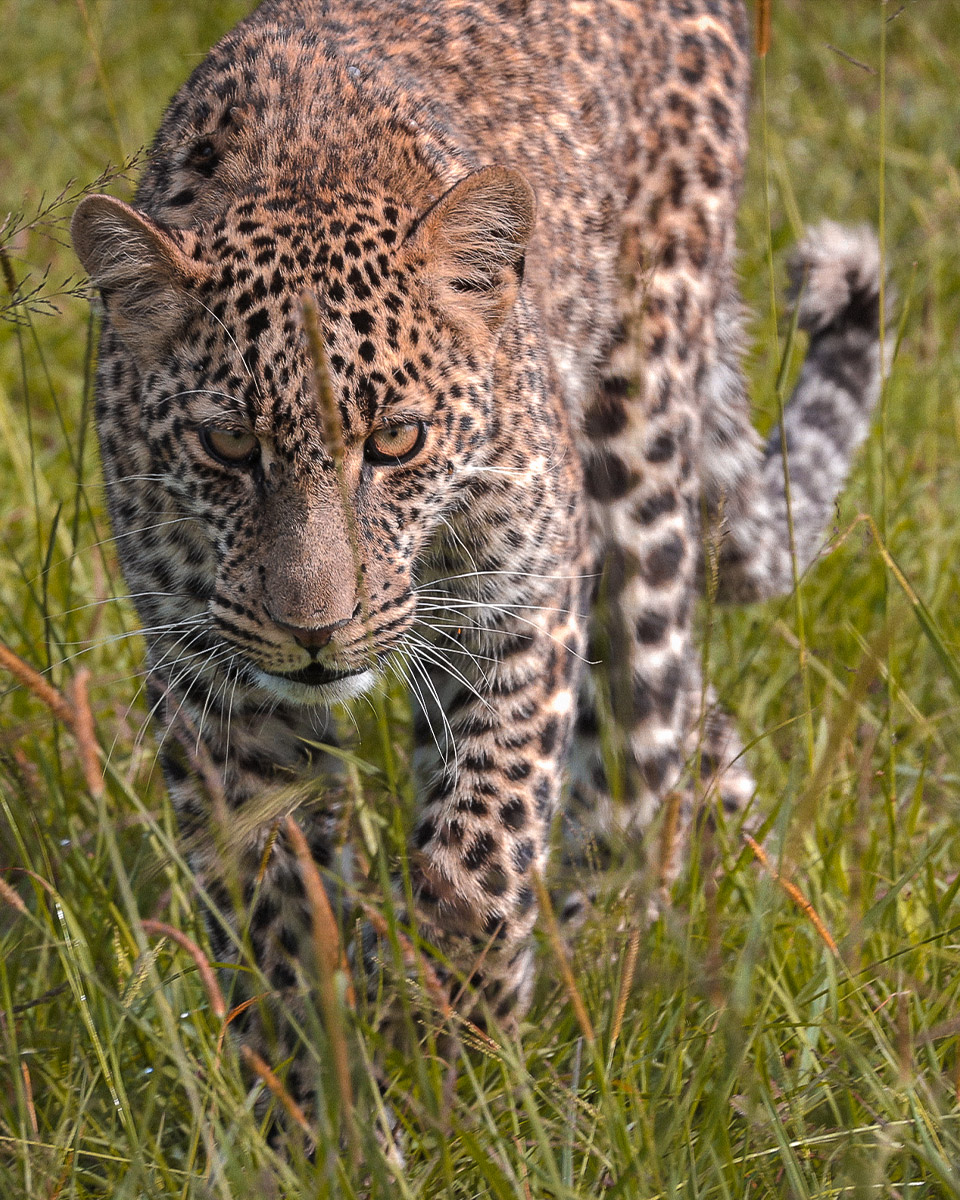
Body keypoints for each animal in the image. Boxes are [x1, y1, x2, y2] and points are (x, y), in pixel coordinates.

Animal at [71, 0, 888, 1108]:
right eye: (229, 446)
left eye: (398, 440)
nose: (317, 633)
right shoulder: (214, 682)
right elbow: (273, 910)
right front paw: (317, 1105)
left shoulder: (523, 600)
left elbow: (484, 843)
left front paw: (456, 1047)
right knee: (693, 729)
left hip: (636, 461)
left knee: (643, 750)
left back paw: (609, 978)